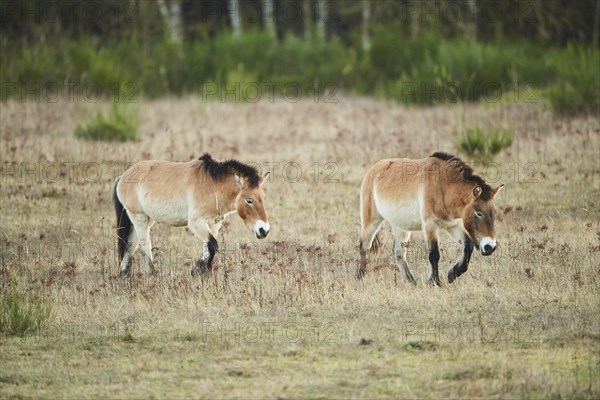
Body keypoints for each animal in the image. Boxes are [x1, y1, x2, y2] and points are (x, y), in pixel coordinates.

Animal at [112, 152, 270, 276]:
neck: (213, 186)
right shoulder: (196, 222)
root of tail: (122, 177)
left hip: (144, 219)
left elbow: (208, 248)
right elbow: (213, 245)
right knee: (144, 247)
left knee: (130, 246)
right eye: (249, 200)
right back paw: (153, 275)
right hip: (139, 218)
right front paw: (196, 270)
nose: (264, 230)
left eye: (263, 198)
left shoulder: (213, 224)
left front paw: (203, 273)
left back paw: (124, 276)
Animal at [358, 152, 504, 286]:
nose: (490, 247)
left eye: (493, 213)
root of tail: (373, 170)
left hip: (400, 227)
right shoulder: (430, 225)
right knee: (364, 246)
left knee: (399, 254)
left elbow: (468, 246)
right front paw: (434, 282)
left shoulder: (453, 225)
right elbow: (434, 254)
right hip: (371, 221)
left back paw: (413, 283)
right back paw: (360, 277)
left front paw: (452, 274)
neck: (443, 187)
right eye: (479, 213)